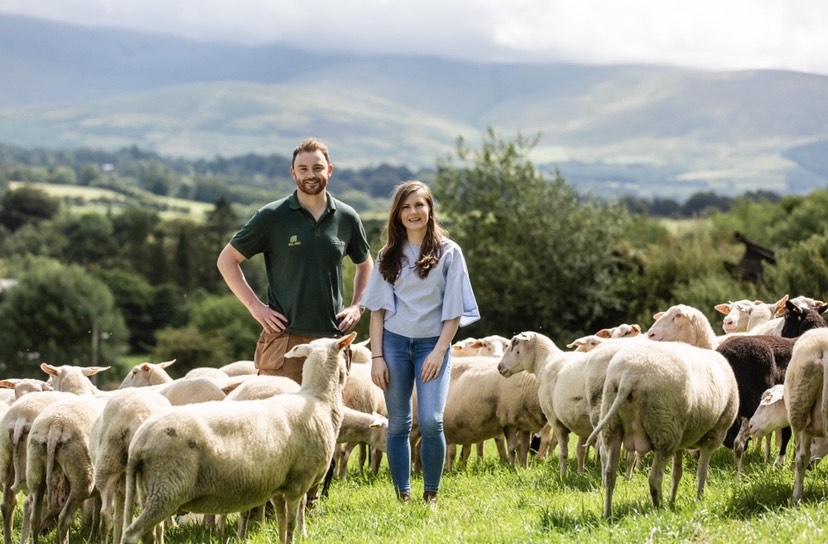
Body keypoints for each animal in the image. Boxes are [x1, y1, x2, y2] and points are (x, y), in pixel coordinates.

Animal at [120, 332, 356, 544]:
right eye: (343, 349)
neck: (318, 400)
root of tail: (140, 441)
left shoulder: (280, 487)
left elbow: (281, 524)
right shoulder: (298, 482)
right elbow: (291, 523)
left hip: (151, 488)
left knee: (148, 533)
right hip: (167, 487)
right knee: (132, 533)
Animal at [498, 332, 596, 476]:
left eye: (515, 344)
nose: (499, 367)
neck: (544, 363)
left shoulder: (555, 419)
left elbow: (563, 450)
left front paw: (563, 476)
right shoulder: (580, 422)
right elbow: (581, 449)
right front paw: (580, 473)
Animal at [584, 340, 736, 520]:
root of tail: (630, 374)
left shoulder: (681, 439)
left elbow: (677, 473)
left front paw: (673, 500)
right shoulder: (713, 436)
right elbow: (702, 472)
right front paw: (699, 500)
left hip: (613, 426)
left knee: (610, 475)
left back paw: (608, 514)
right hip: (664, 430)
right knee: (654, 478)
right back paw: (659, 508)